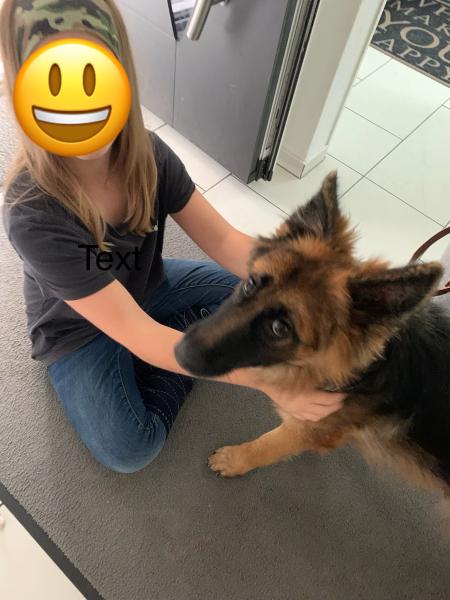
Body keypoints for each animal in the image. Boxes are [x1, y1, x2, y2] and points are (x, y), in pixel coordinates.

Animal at [175, 172, 450, 496]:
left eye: (280, 328)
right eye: (252, 283)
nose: (179, 353)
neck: (369, 369)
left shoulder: (308, 427)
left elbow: (268, 445)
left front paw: (235, 459)